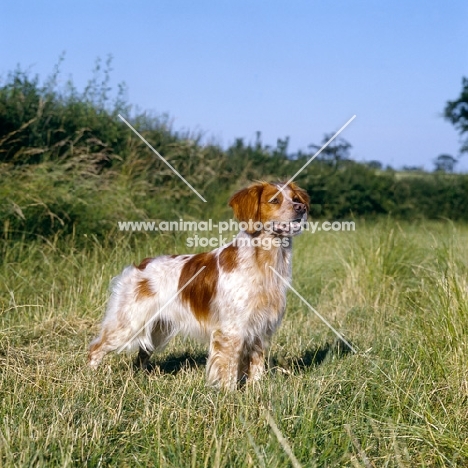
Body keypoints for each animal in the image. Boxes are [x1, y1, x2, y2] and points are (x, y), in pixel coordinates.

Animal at [89, 181, 308, 390]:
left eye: (295, 198)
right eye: (274, 200)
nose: (301, 208)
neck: (263, 260)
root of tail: (141, 265)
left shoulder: (260, 329)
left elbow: (256, 366)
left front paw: (255, 390)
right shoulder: (232, 330)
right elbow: (229, 369)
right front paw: (229, 395)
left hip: (157, 329)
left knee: (142, 354)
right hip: (129, 324)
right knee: (96, 348)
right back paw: (92, 378)